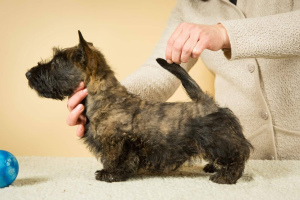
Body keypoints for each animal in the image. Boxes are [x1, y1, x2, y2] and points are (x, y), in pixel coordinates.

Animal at [25, 31, 252, 184]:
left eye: (56, 63)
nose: (28, 74)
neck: (104, 97)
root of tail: (207, 102)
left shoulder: (116, 141)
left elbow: (116, 158)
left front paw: (109, 174)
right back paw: (213, 167)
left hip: (218, 140)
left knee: (237, 156)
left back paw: (225, 176)